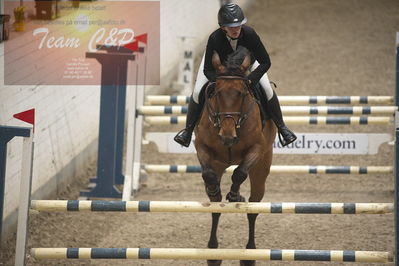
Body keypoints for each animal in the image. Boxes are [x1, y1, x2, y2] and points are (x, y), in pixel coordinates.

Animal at [195, 46, 278, 266]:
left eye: (241, 94)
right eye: (216, 94)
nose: (227, 136)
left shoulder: (257, 149)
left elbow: (240, 173)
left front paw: (234, 195)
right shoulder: (203, 148)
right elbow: (209, 177)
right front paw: (216, 190)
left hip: (261, 169)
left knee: (253, 208)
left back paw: (249, 254)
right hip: (220, 164)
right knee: (215, 208)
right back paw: (213, 253)